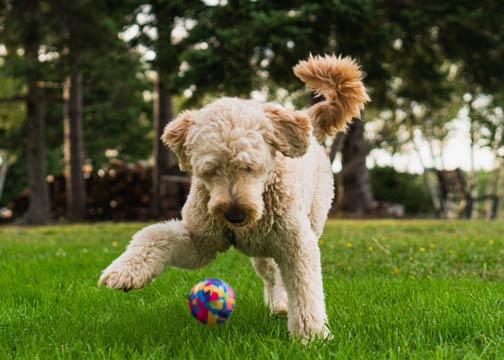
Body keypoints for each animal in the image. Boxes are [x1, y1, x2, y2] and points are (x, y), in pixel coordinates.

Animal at [99, 54, 366, 340]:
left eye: (249, 167)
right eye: (210, 170)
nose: (235, 215)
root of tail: (306, 118)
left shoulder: (297, 244)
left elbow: (305, 289)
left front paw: (311, 335)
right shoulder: (200, 242)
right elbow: (155, 234)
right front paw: (125, 271)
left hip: (311, 220)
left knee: (283, 278)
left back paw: (283, 305)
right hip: (262, 253)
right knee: (270, 274)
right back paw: (276, 303)